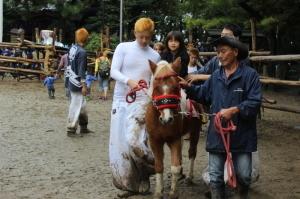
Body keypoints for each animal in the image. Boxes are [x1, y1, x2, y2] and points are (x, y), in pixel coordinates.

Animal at [145, 58, 202, 199]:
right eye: (156, 87)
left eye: (176, 87)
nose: (167, 119)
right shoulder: (155, 141)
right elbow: (159, 166)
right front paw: (158, 192)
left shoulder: (174, 139)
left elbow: (175, 166)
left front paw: (173, 192)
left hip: (195, 132)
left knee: (192, 152)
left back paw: (189, 177)